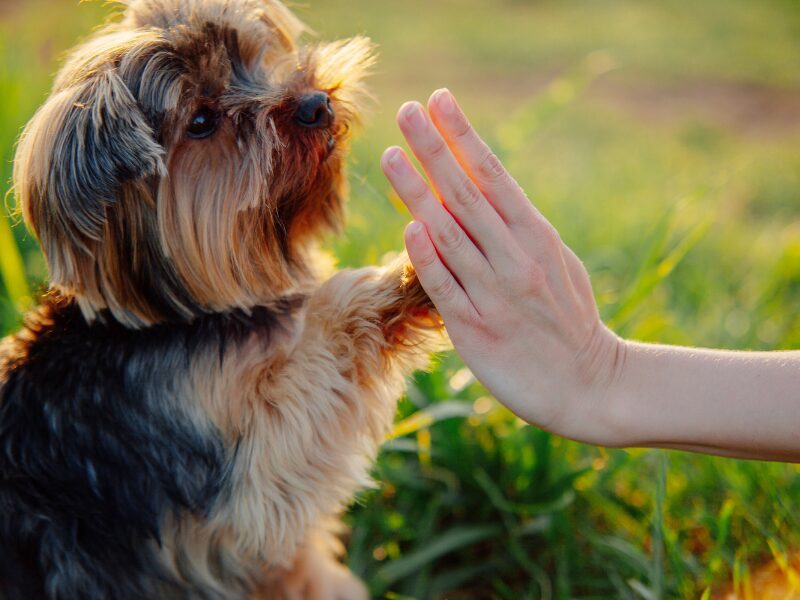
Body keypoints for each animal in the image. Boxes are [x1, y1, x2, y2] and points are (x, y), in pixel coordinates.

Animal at [0, 2, 440, 596]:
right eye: (202, 121)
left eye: (252, 60)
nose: (316, 103)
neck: (178, 316)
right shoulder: (242, 478)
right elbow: (312, 370)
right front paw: (413, 274)